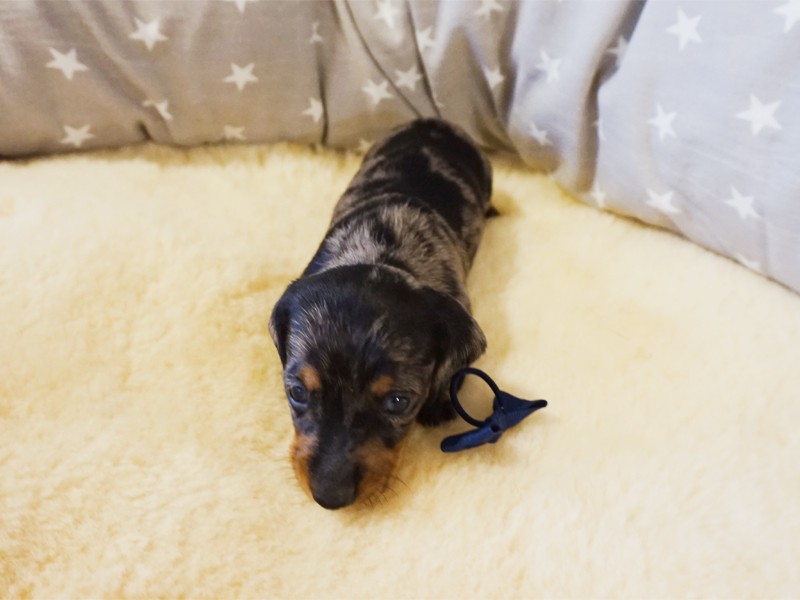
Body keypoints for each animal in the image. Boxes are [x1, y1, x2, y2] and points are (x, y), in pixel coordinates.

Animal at [269, 119, 494, 509]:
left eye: (398, 401)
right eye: (296, 391)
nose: (329, 497)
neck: (381, 249)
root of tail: (433, 121)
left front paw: (439, 402)